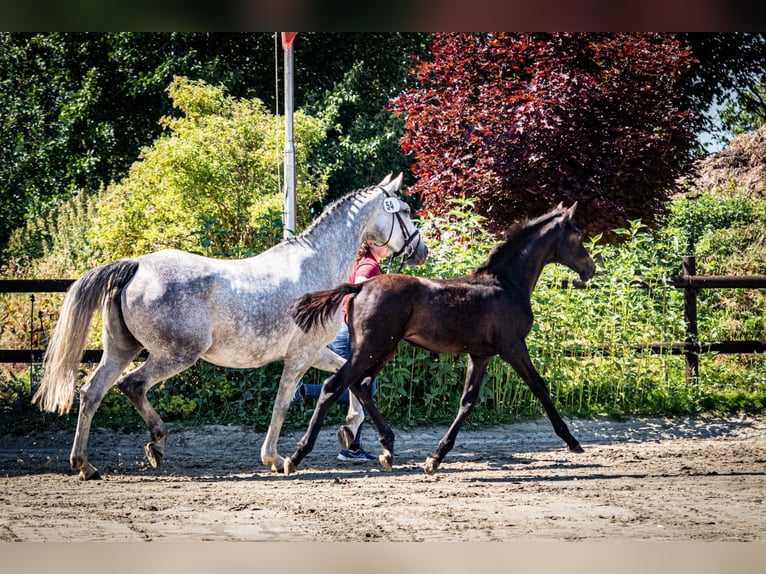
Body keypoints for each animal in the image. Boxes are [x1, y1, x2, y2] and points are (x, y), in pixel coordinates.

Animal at [284, 204, 596, 476]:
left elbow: (467, 401)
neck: (506, 284)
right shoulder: (513, 347)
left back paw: (387, 448)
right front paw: (572, 441)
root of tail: (360, 287)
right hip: (373, 348)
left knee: (360, 385)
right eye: (578, 234)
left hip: (383, 349)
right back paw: (296, 456)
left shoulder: (480, 355)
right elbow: (540, 387)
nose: (591, 269)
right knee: (334, 386)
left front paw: (435, 458)